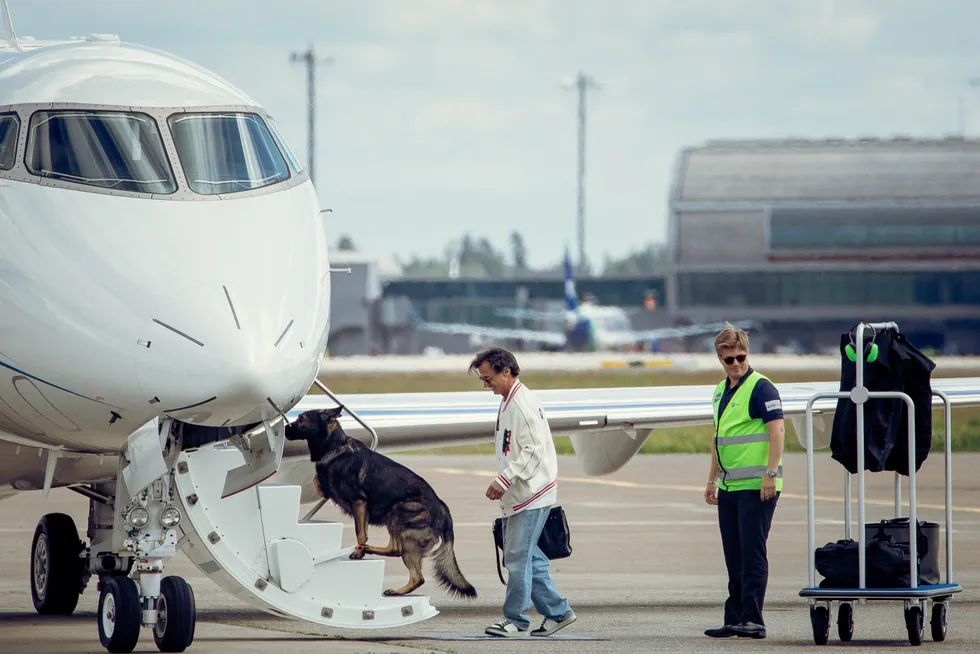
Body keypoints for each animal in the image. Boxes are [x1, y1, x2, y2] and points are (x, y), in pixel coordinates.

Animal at [284, 408, 478, 604]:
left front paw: (359, 553)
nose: (284, 428)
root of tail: (444, 511)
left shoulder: (359, 502)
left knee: (395, 550)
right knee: (417, 577)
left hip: (396, 513)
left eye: (301, 419)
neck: (334, 447)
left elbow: (360, 533)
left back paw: (369, 550)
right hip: (409, 544)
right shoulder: (358, 507)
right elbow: (318, 481)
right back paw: (397, 590)